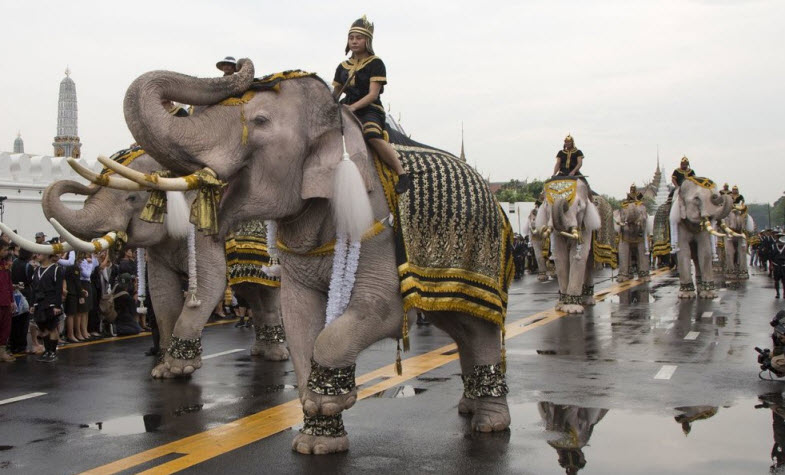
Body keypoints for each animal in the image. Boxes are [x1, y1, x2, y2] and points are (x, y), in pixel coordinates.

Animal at [36, 151, 286, 378]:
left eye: (132, 198)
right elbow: (161, 292)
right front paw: (162, 371)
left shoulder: (207, 233)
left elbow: (211, 283)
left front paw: (180, 368)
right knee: (251, 292)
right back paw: (260, 351)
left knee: (267, 293)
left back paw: (276, 355)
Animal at [107, 59, 516, 454]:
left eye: (260, 121)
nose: (236, 63)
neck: (338, 123)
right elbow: (297, 314)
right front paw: (315, 440)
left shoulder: (376, 225)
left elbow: (383, 310)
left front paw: (329, 401)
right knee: (459, 325)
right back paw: (469, 406)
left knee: (476, 329)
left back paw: (490, 424)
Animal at [532, 177, 620, 314]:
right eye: (546, 205)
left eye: (579, 205)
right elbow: (560, 256)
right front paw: (561, 306)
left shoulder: (586, 224)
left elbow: (578, 255)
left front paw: (572, 309)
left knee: (589, 261)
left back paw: (587, 301)